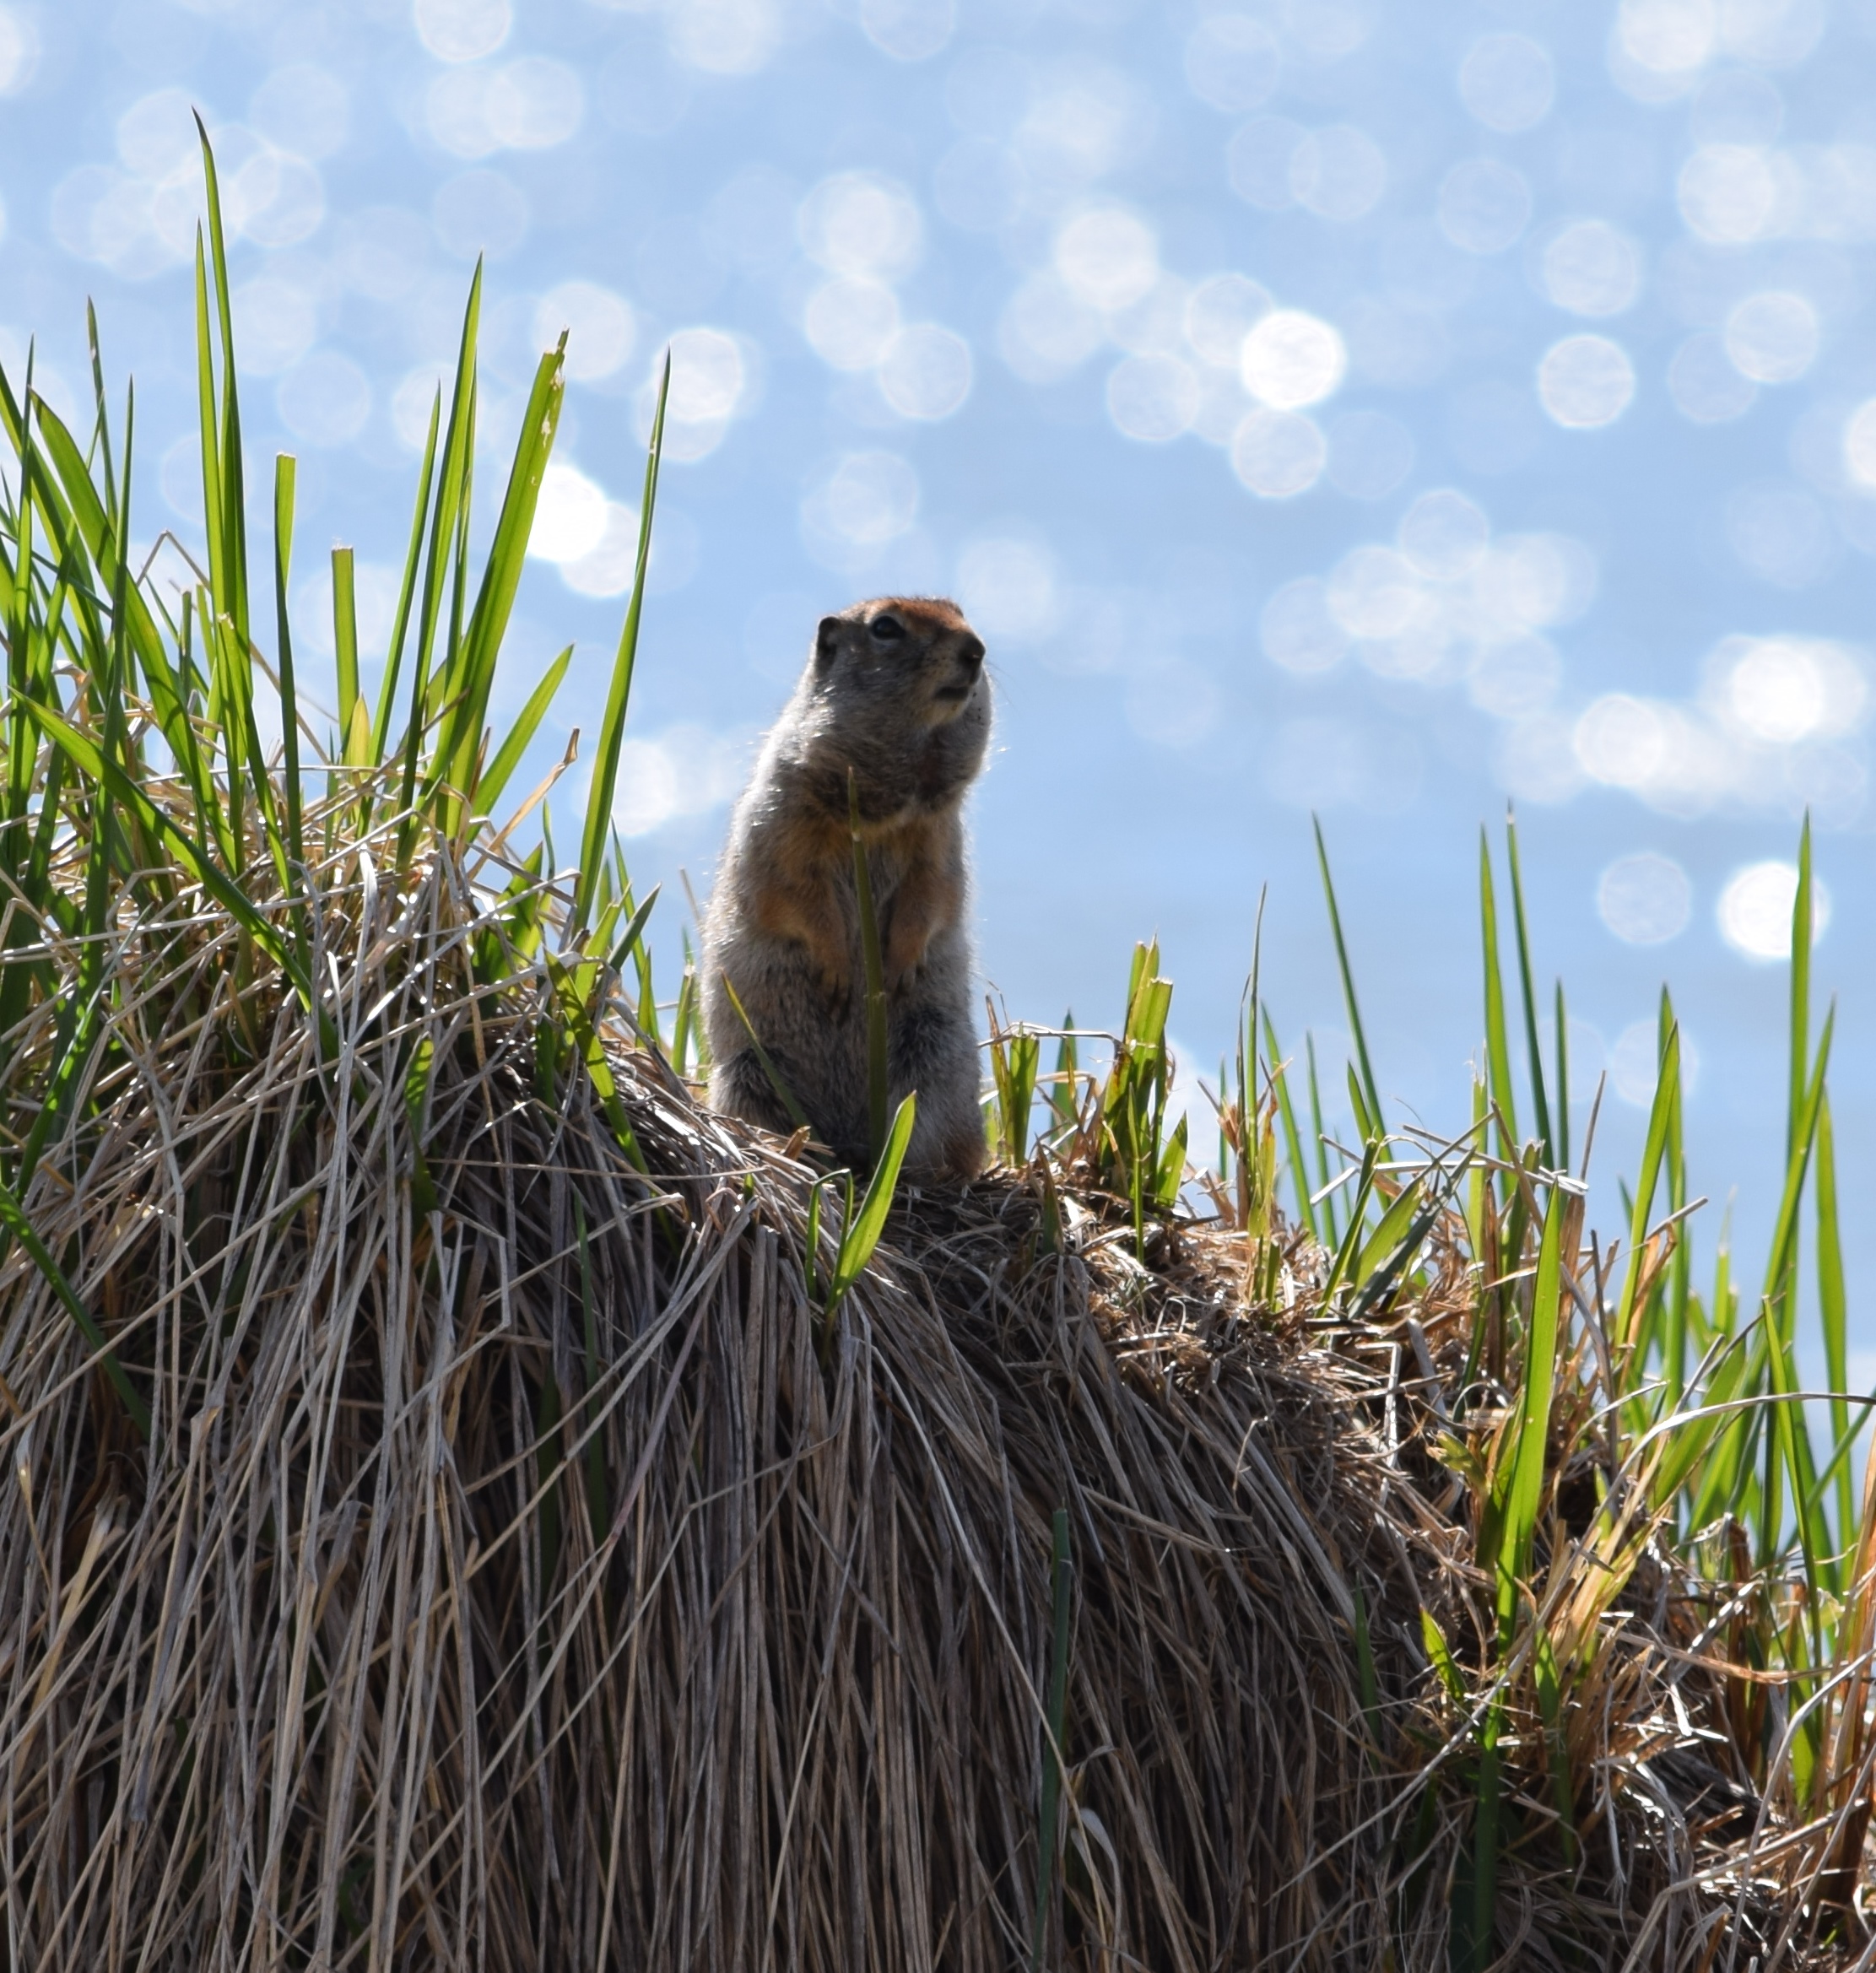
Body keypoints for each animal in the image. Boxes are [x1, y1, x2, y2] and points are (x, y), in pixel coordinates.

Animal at [702, 596, 997, 1183]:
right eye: (885, 627)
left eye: (959, 610)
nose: (976, 650)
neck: (882, 812)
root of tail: (848, 1138)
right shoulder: (783, 820)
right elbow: (793, 892)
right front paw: (839, 969)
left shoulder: (939, 837)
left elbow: (935, 895)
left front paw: (899, 964)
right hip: (749, 1074)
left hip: (938, 1063)